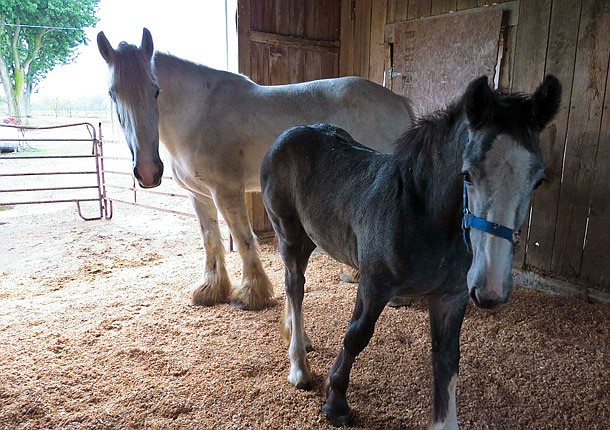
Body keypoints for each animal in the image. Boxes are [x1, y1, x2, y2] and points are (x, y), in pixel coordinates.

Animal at [97, 28, 414, 310]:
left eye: (155, 90)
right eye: (112, 94)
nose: (148, 171)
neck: (199, 114)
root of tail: (398, 101)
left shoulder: (226, 190)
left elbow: (243, 239)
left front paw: (251, 295)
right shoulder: (198, 195)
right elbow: (210, 240)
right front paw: (210, 291)